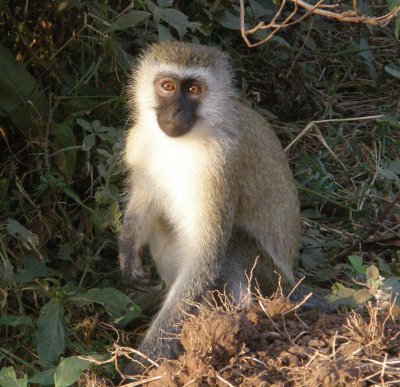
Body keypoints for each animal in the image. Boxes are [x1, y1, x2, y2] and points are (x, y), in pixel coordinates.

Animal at [119, 42, 300, 366]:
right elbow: (145, 203)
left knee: (233, 242)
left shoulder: (220, 164)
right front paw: (128, 256)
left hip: (274, 282)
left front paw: (144, 361)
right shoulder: (139, 142)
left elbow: (206, 254)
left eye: (194, 89)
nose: (176, 110)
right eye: (167, 86)